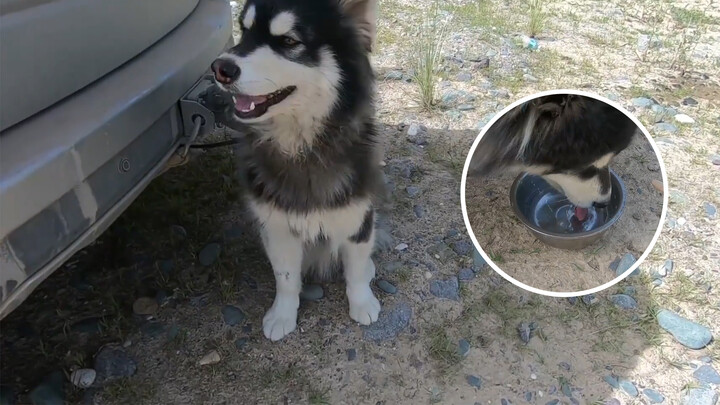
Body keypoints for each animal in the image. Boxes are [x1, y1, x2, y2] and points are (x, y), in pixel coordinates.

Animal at [211, 0, 386, 340]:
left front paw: (362, 302)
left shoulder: (358, 213)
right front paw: (283, 315)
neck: (303, 147)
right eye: (245, 31)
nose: (220, 68)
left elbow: (356, 267)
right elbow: (286, 277)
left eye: (289, 41)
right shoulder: (276, 224)